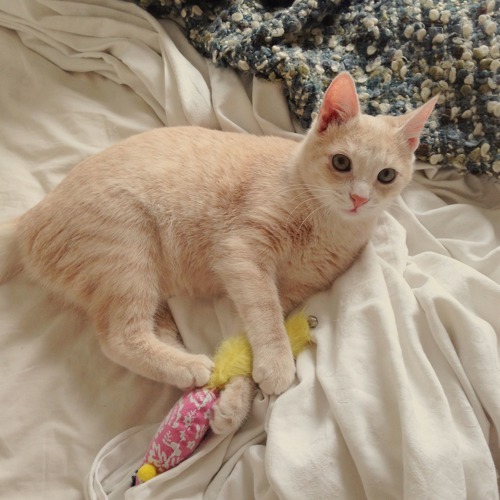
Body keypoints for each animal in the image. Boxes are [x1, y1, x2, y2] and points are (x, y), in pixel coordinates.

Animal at [0, 73, 438, 434]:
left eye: (386, 176)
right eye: (341, 162)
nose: (360, 199)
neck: (325, 223)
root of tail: (33, 214)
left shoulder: (290, 289)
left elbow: (250, 336)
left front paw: (235, 399)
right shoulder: (244, 252)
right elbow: (266, 318)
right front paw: (276, 365)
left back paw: (194, 371)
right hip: (125, 254)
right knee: (119, 337)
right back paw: (191, 366)